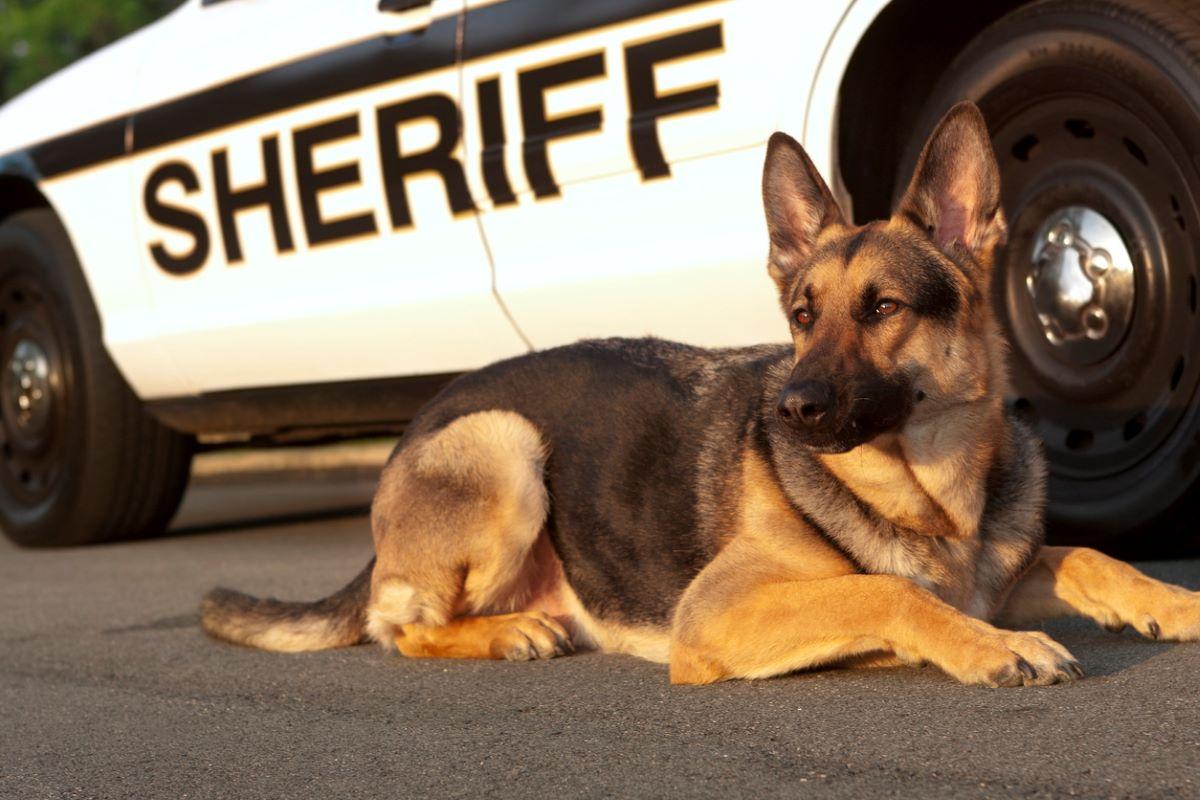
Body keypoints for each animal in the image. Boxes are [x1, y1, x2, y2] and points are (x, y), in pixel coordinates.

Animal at [201, 101, 1200, 690]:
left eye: (883, 308)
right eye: (801, 315)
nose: (791, 407)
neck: (933, 495)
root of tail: (418, 428)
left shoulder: (1002, 566)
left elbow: (1085, 556)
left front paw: (1175, 602)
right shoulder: (720, 612)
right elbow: (887, 593)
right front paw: (991, 646)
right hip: (504, 444)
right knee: (397, 627)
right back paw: (508, 633)